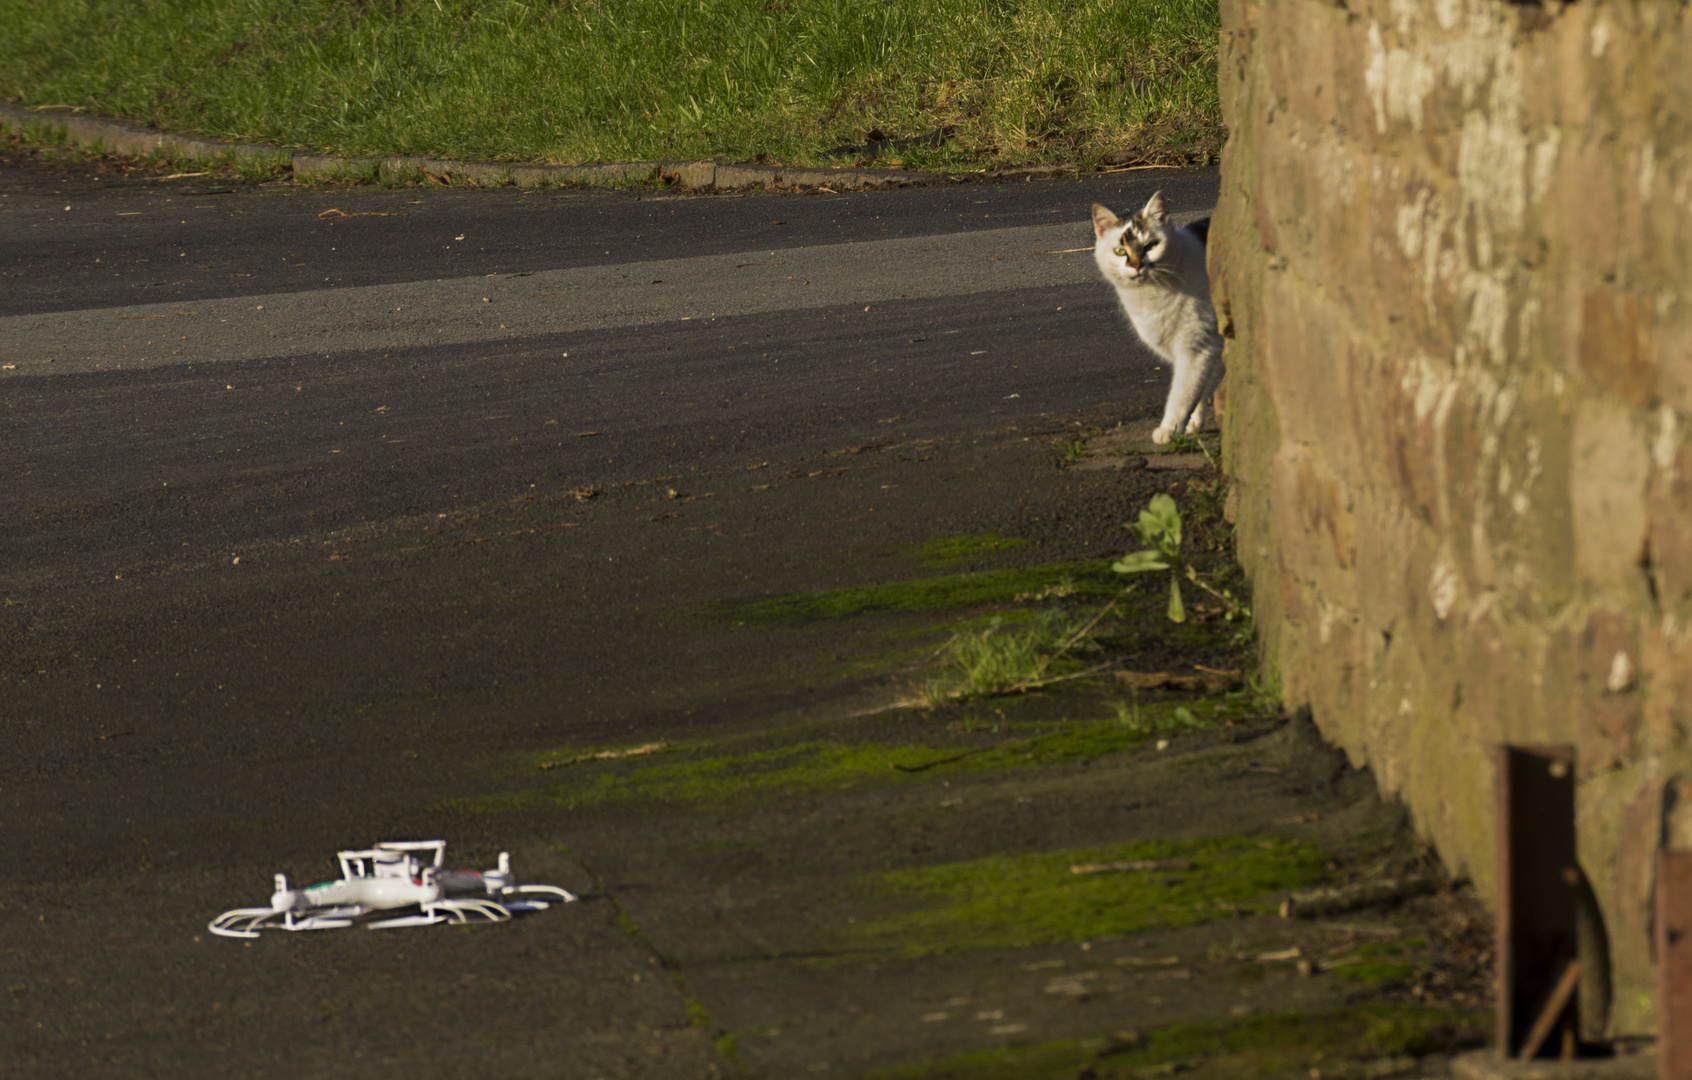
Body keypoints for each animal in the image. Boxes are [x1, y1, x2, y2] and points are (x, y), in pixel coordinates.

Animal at [1089, 193, 1225, 443]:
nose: (1136, 265)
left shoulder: (1197, 347)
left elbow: (1182, 394)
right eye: (1120, 251)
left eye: (1151, 246)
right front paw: (1193, 424)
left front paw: (1169, 429)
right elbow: (1200, 390)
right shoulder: (1200, 351)